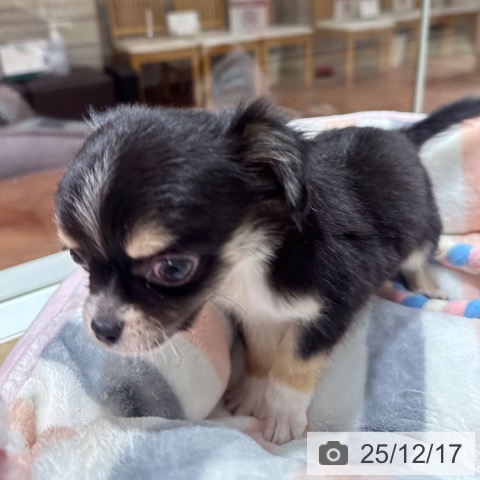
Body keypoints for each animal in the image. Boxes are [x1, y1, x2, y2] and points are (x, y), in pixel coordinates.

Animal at [54, 97, 480, 444]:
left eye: (173, 269)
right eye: (77, 257)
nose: (101, 329)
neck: (251, 261)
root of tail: (401, 137)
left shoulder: (331, 309)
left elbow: (293, 362)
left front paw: (282, 415)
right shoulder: (255, 312)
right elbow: (261, 354)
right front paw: (252, 391)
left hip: (421, 225)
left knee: (419, 257)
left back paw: (427, 289)